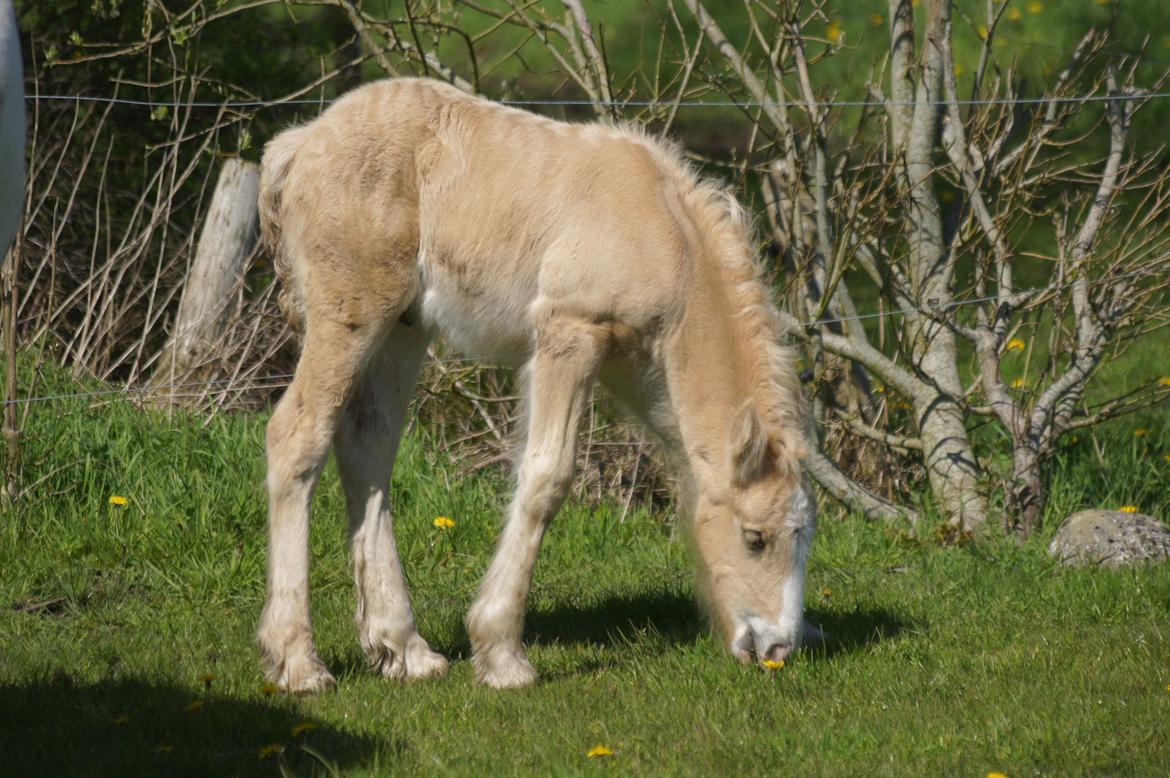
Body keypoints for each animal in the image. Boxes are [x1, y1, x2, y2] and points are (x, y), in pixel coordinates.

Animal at [256, 76, 814, 687]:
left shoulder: (638, 375)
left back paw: (402, 648)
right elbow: (546, 475)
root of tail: (301, 142)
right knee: (297, 434)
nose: (777, 647)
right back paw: (298, 661)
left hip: (405, 325)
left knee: (368, 447)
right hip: (350, 308)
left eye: (803, 538)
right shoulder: (569, 333)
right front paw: (502, 653)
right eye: (755, 538)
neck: (668, 239)